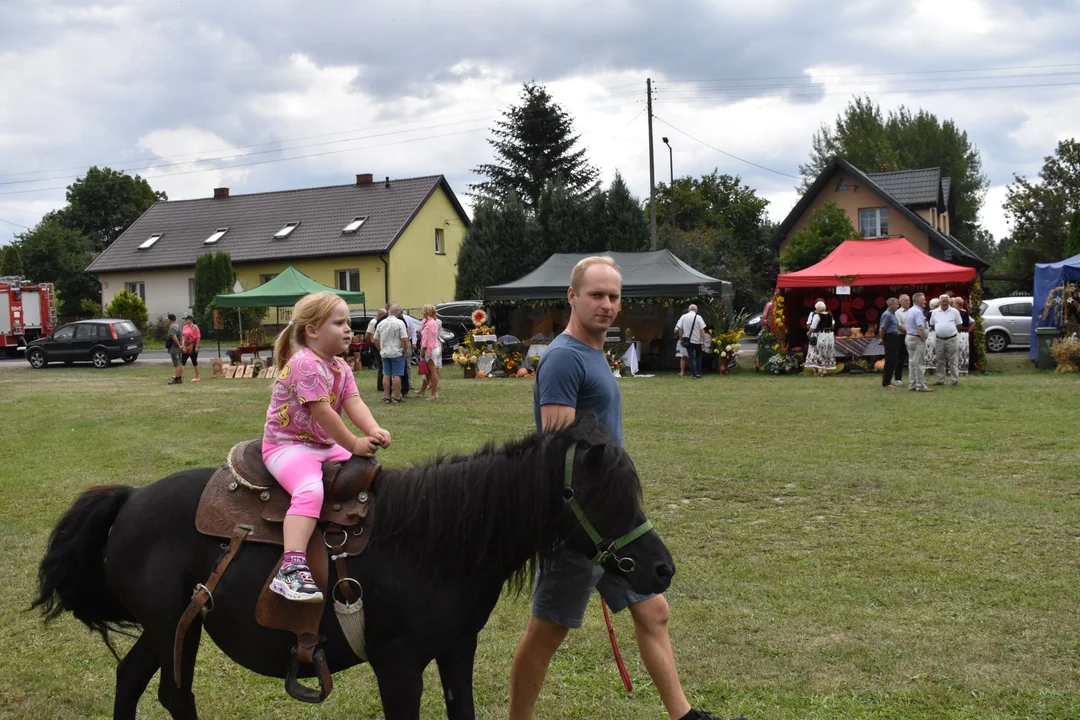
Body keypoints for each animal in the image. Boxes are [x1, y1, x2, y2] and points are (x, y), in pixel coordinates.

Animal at [35, 418, 673, 716]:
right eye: (605, 499)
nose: (662, 570)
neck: (434, 541)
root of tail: (131, 499)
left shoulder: (455, 652)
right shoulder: (398, 666)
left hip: (163, 629)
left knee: (131, 679)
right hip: (176, 628)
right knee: (173, 694)